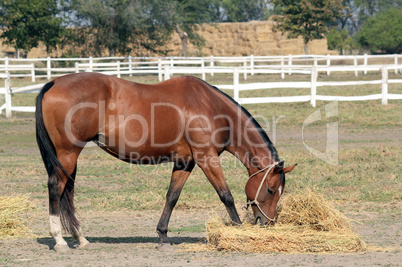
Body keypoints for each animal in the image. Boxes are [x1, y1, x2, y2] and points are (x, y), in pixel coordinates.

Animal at [35, 72, 296, 252]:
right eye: (270, 189)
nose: (267, 223)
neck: (210, 107)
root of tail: (54, 83)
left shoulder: (185, 162)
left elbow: (172, 197)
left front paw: (162, 236)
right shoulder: (206, 158)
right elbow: (226, 195)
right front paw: (238, 230)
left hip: (69, 157)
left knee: (67, 192)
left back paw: (80, 238)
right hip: (68, 153)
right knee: (56, 188)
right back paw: (59, 240)